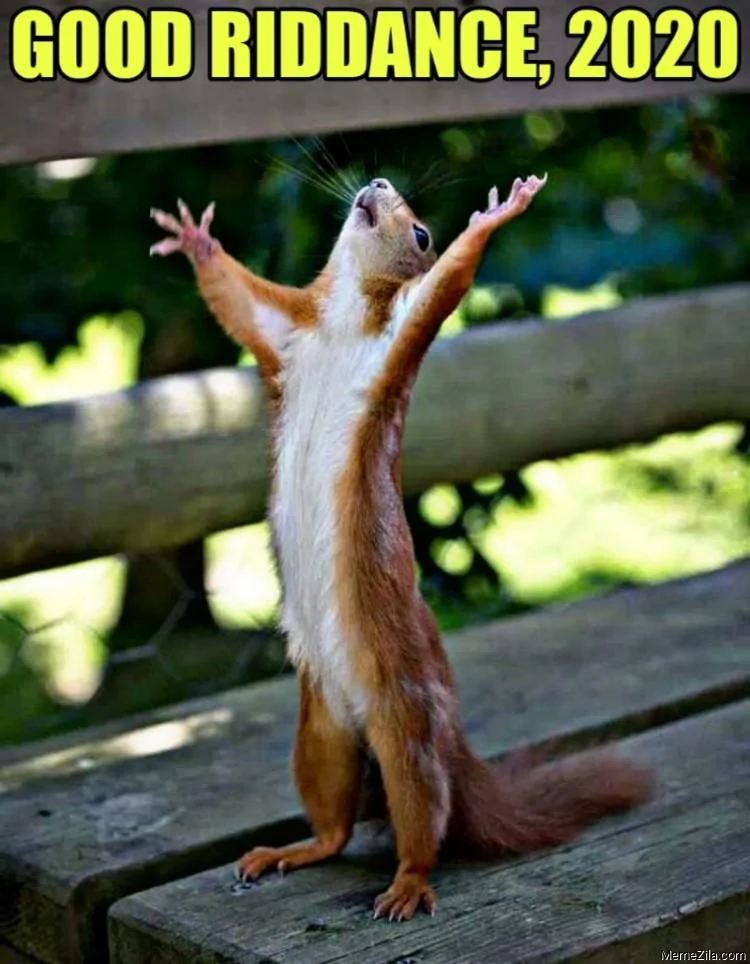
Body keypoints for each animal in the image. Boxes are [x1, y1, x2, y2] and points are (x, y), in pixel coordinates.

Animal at [150, 174, 653, 922]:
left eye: (421, 232)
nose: (378, 184)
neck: (340, 320)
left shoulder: (401, 333)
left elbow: (448, 282)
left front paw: (497, 215)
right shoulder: (285, 332)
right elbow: (237, 301)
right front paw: (195, 239)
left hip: (406, 725)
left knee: (423, 820)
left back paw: (408, 884)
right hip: (320, 729)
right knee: (334, 824)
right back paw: (289, 851)